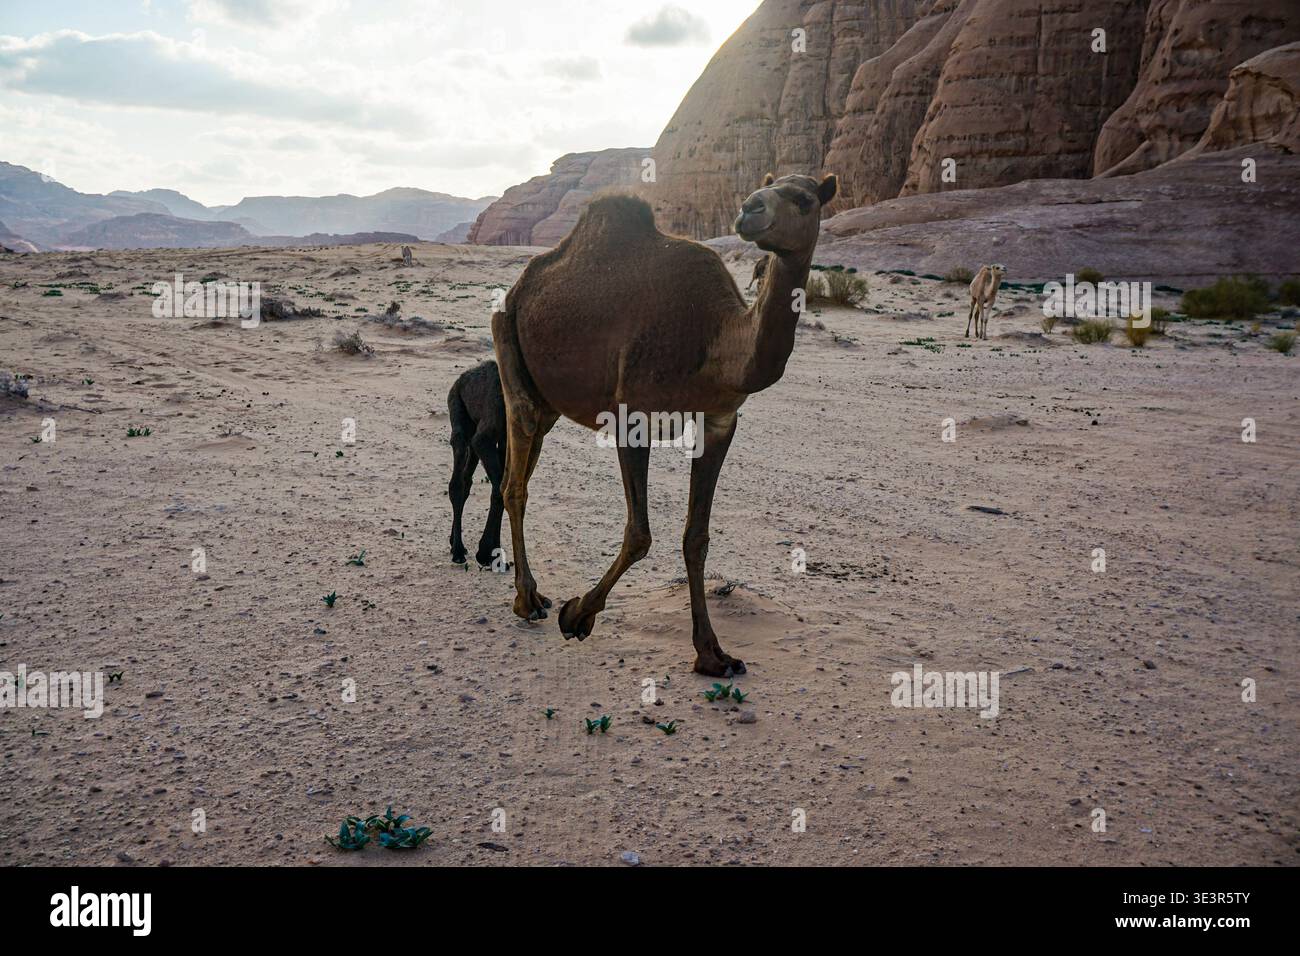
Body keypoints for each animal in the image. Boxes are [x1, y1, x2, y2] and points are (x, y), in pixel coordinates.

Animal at [447, 360, 507, 567]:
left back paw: (454, 542)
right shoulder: (484, 438)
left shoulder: (506, 440)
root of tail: (459, 381)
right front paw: (485, 553)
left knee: (466, 481)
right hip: (458, 414)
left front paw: (494, 554)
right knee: (456, 484)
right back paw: (457, 551)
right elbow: (500, 488)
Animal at [491, 172, 838, 676]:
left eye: (804, 199)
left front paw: (712, 654)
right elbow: (639, 533)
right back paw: (527, 600)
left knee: (517, 472)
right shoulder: (632, 414)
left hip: (549, 398)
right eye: (766, 190)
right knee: (516, 483)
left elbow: (697, 537)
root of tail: (518, 285)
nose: (750, 208)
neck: (717, 342)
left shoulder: (720, 421)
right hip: (510, 353)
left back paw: (529, 594)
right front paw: (577, 616)